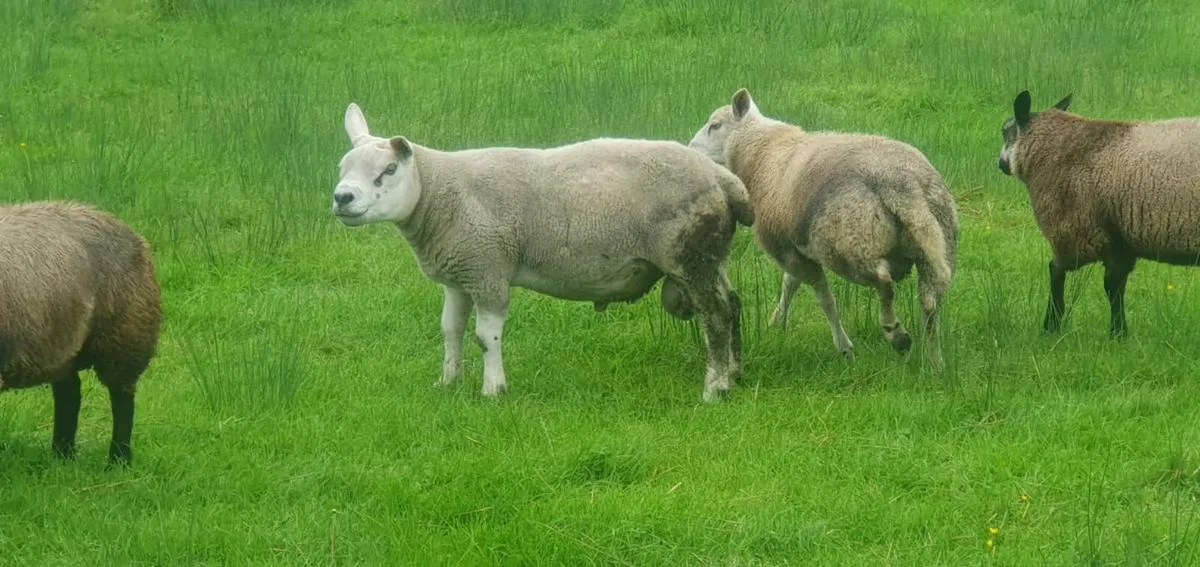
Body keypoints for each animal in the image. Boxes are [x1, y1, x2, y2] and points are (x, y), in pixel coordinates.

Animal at [0, 200, 162, 466]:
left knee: (122, 398)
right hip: (62, 344)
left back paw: (118, 459)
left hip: (125, 334)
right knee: (69, 393)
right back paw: (63, 454)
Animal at [331, 103, 755, 402]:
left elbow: (485, 336)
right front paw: (448, 382)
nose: (342, 197)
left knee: (715, 316)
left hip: (691, 256)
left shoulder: (487, 269)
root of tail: (725, 179)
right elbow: (450, 330)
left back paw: (714, 389)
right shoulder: (460, 274)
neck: (438, 193)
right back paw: (734, 373)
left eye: (388, 170)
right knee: (733, 304)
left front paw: (493, 390)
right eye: (341, 167)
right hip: (713, 257)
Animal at [688, 88, 959, 368]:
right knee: (929, 303)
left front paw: (844, 347)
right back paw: (935, 361)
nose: (690, 149)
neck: (760, 151)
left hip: (850, 244)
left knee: (884, 282)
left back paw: (896, 334)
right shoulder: (796, 248)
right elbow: (790, 284)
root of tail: (902, 186)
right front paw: (777, 322)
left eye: (715, 125)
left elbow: (824, 298)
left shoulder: (785, 249)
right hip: (936, 244)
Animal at [998, 90, 1200, 338]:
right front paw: (1119, 333)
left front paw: (1053, 326)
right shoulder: (1119, 238)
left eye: (1005, 131)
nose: (1000, 164)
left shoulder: (1081, 229)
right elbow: (1117, 285)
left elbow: (1070, 275)